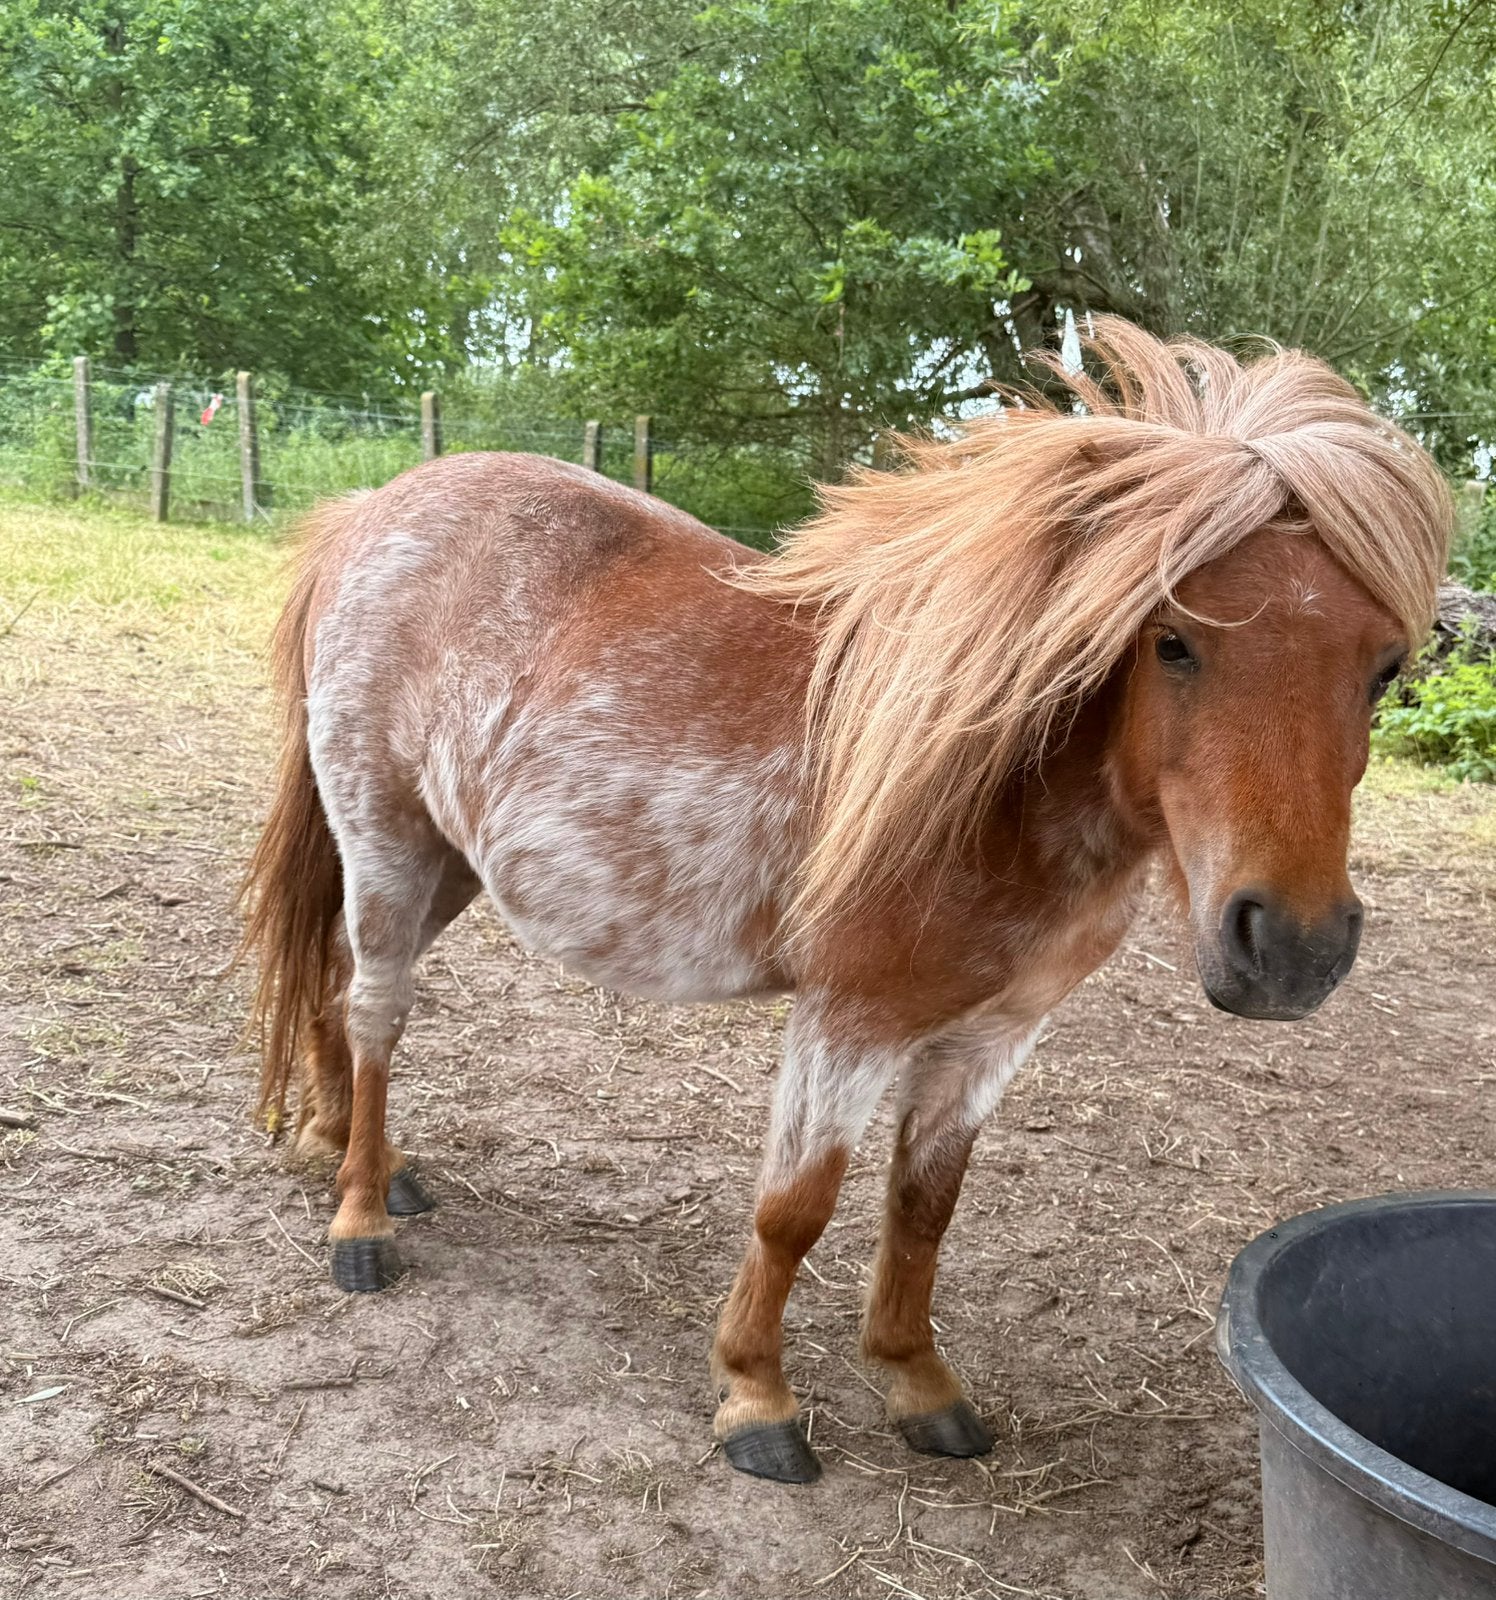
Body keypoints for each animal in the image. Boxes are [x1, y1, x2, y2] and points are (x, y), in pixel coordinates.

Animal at [240, 318, 1451, 1484]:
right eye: (1172, 641)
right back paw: (360, 1222)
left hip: (448, 863)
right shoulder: (848, 1020)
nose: (1292, 949)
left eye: (1383, 667)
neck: (988, 783)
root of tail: (374, 510)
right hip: (387, 840)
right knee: (377, 1011)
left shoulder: (991, 1036)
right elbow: (795, 1210)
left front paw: (916, 1381)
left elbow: (924, 1204)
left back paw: (354, 1156)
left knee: (338, 981)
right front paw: (756, 1398)